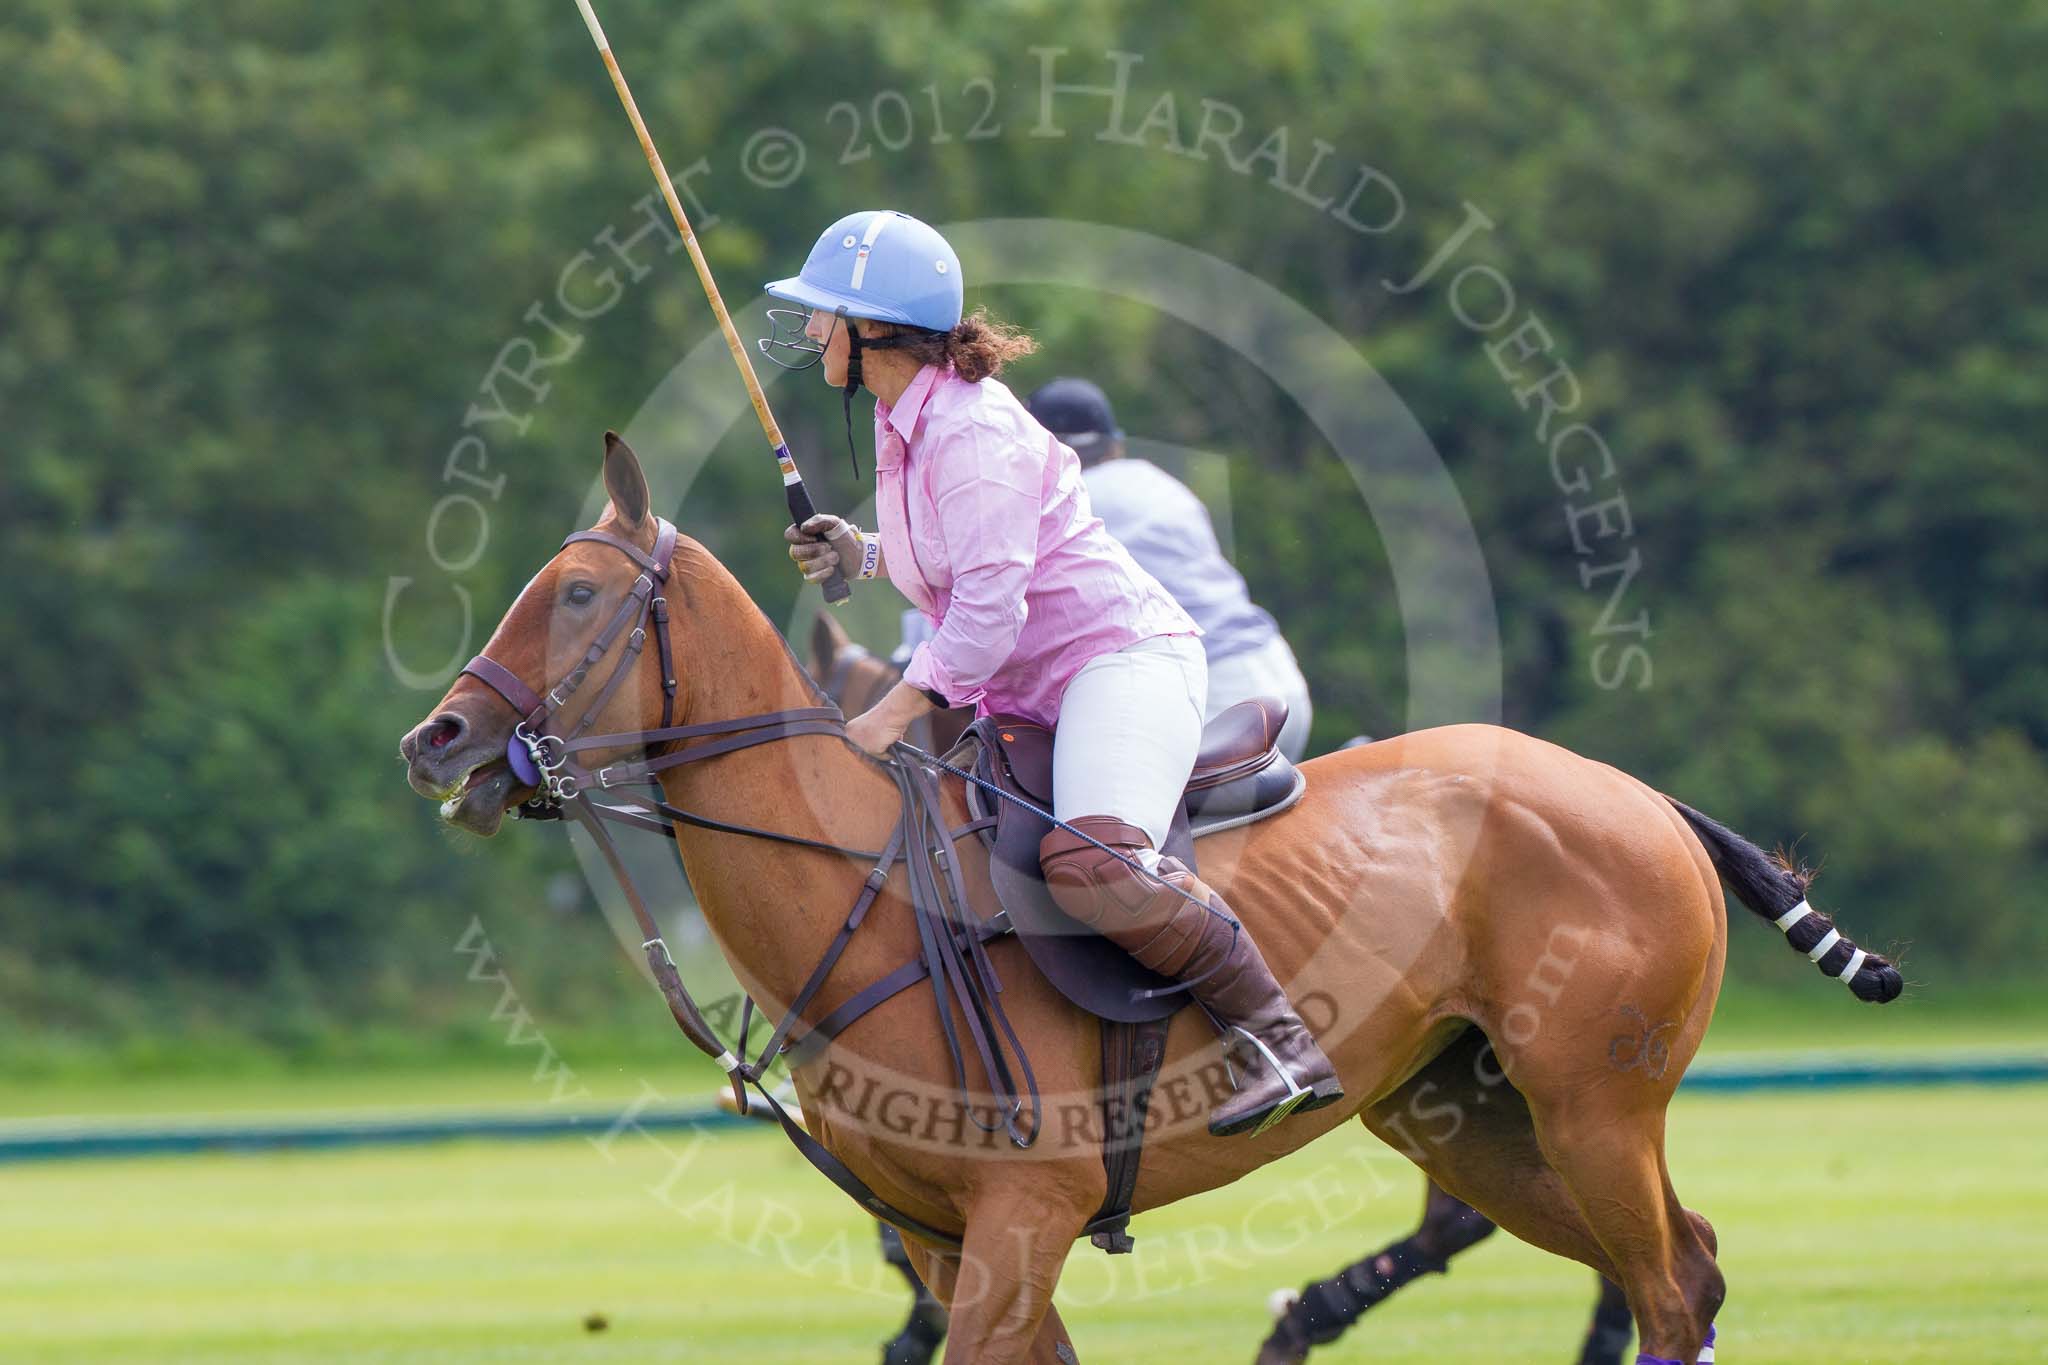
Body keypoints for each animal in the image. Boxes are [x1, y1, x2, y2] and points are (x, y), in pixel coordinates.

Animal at [399, 437, 1900, 1365]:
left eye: (575, 593)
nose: (438, 740)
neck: (869, 892)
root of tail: (1642, 798)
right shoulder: (950, 1238)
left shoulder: (1024, 1213)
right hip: (1469, 1111)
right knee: (1677, 1266)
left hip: (1593, 1101)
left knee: (1666, 1286)